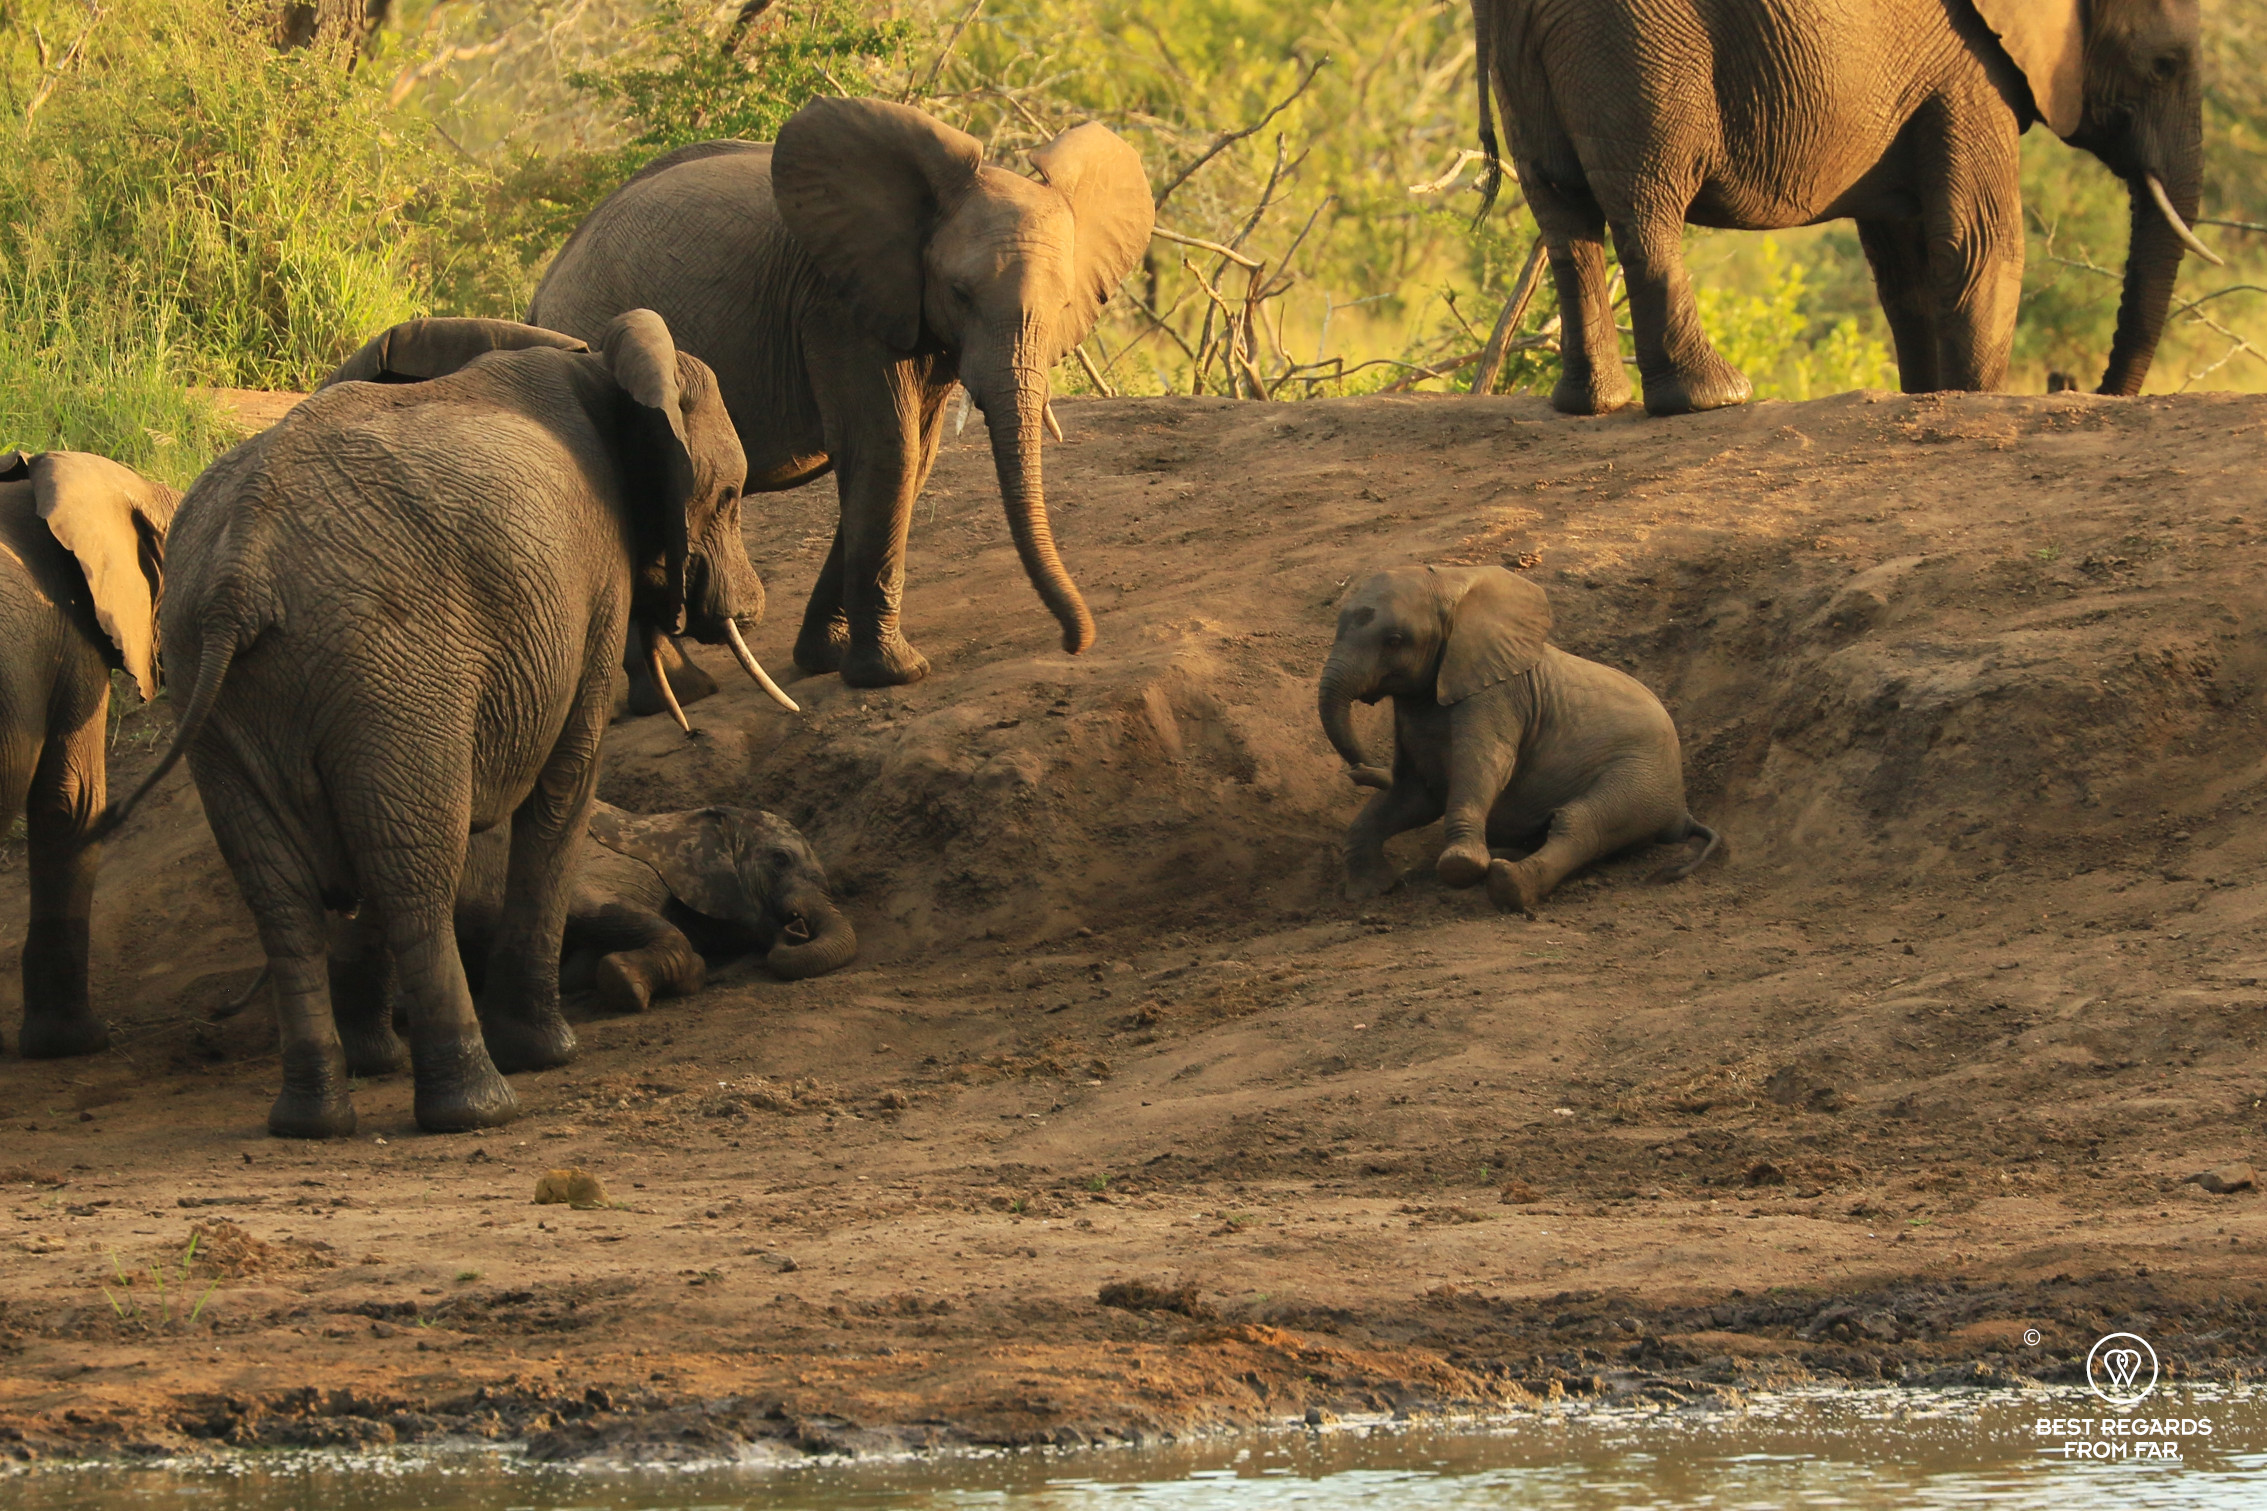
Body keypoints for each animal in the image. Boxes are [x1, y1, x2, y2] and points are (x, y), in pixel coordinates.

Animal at [100, 312, 795, 1137]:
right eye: (729, 496)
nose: (748, 608)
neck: (599, 364)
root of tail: (242, 563)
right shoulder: (594, 589)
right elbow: (567, 781)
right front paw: (546, 1052)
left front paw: (377, 1063)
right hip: (392, 667)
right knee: (414, 869)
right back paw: (478, 1104)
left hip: (238, 688)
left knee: (284, 889)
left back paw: (314, 1117)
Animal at [526, 95, 1156, 688]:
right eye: (959, 293)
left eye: (1067, 305)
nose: (1075, 643)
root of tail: (542, 290)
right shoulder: (835, 303)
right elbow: (886, 450)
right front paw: (896, 675)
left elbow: (913, 459)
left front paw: (826, 661)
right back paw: (682, 687)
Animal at [1318, 564, 1719, 913]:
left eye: (1394, 641)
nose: (1358, 769)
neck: (1452, 581)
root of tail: (1682, 812)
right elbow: (1415, 794)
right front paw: (1370, 891)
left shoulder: (1499, 693)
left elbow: (1484, 764)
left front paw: (1461, 865)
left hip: (1643, 775)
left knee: (1584, 823)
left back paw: (1508, 884)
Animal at [1471, 0, 2211, 414]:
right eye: (2165, 64)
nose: (2083, 387)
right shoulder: (1969, 64)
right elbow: (1983, 247)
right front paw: (1972, 397)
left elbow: (1908, 265)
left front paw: (1927, 393)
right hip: (1635, 45)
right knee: (1645, 203)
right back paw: (1713, 398)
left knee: (1561, 208)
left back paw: (1591, 405)